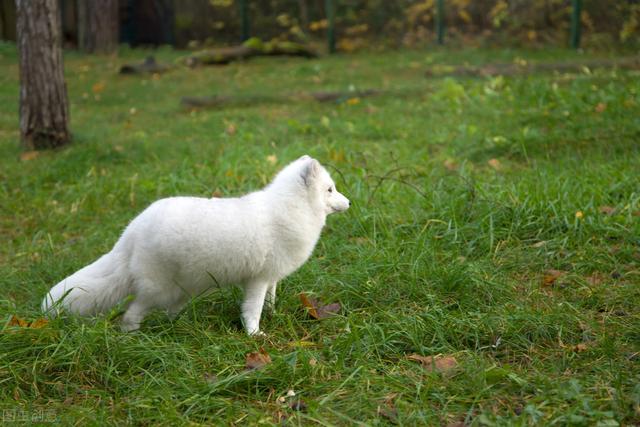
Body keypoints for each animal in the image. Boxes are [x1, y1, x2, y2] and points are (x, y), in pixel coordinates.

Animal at [43, 155, 350, 336]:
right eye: (330, 189)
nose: (349, 202)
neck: (289, 209)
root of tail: (132, 230)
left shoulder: (270, 277)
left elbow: (270, 301)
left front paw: (274, 315)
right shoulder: (257, 280)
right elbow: (252, 310)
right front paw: (254, 334)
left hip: (182, 289)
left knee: (165, 311)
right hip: (159, 290)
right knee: (131, 312)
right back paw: (132, 337)